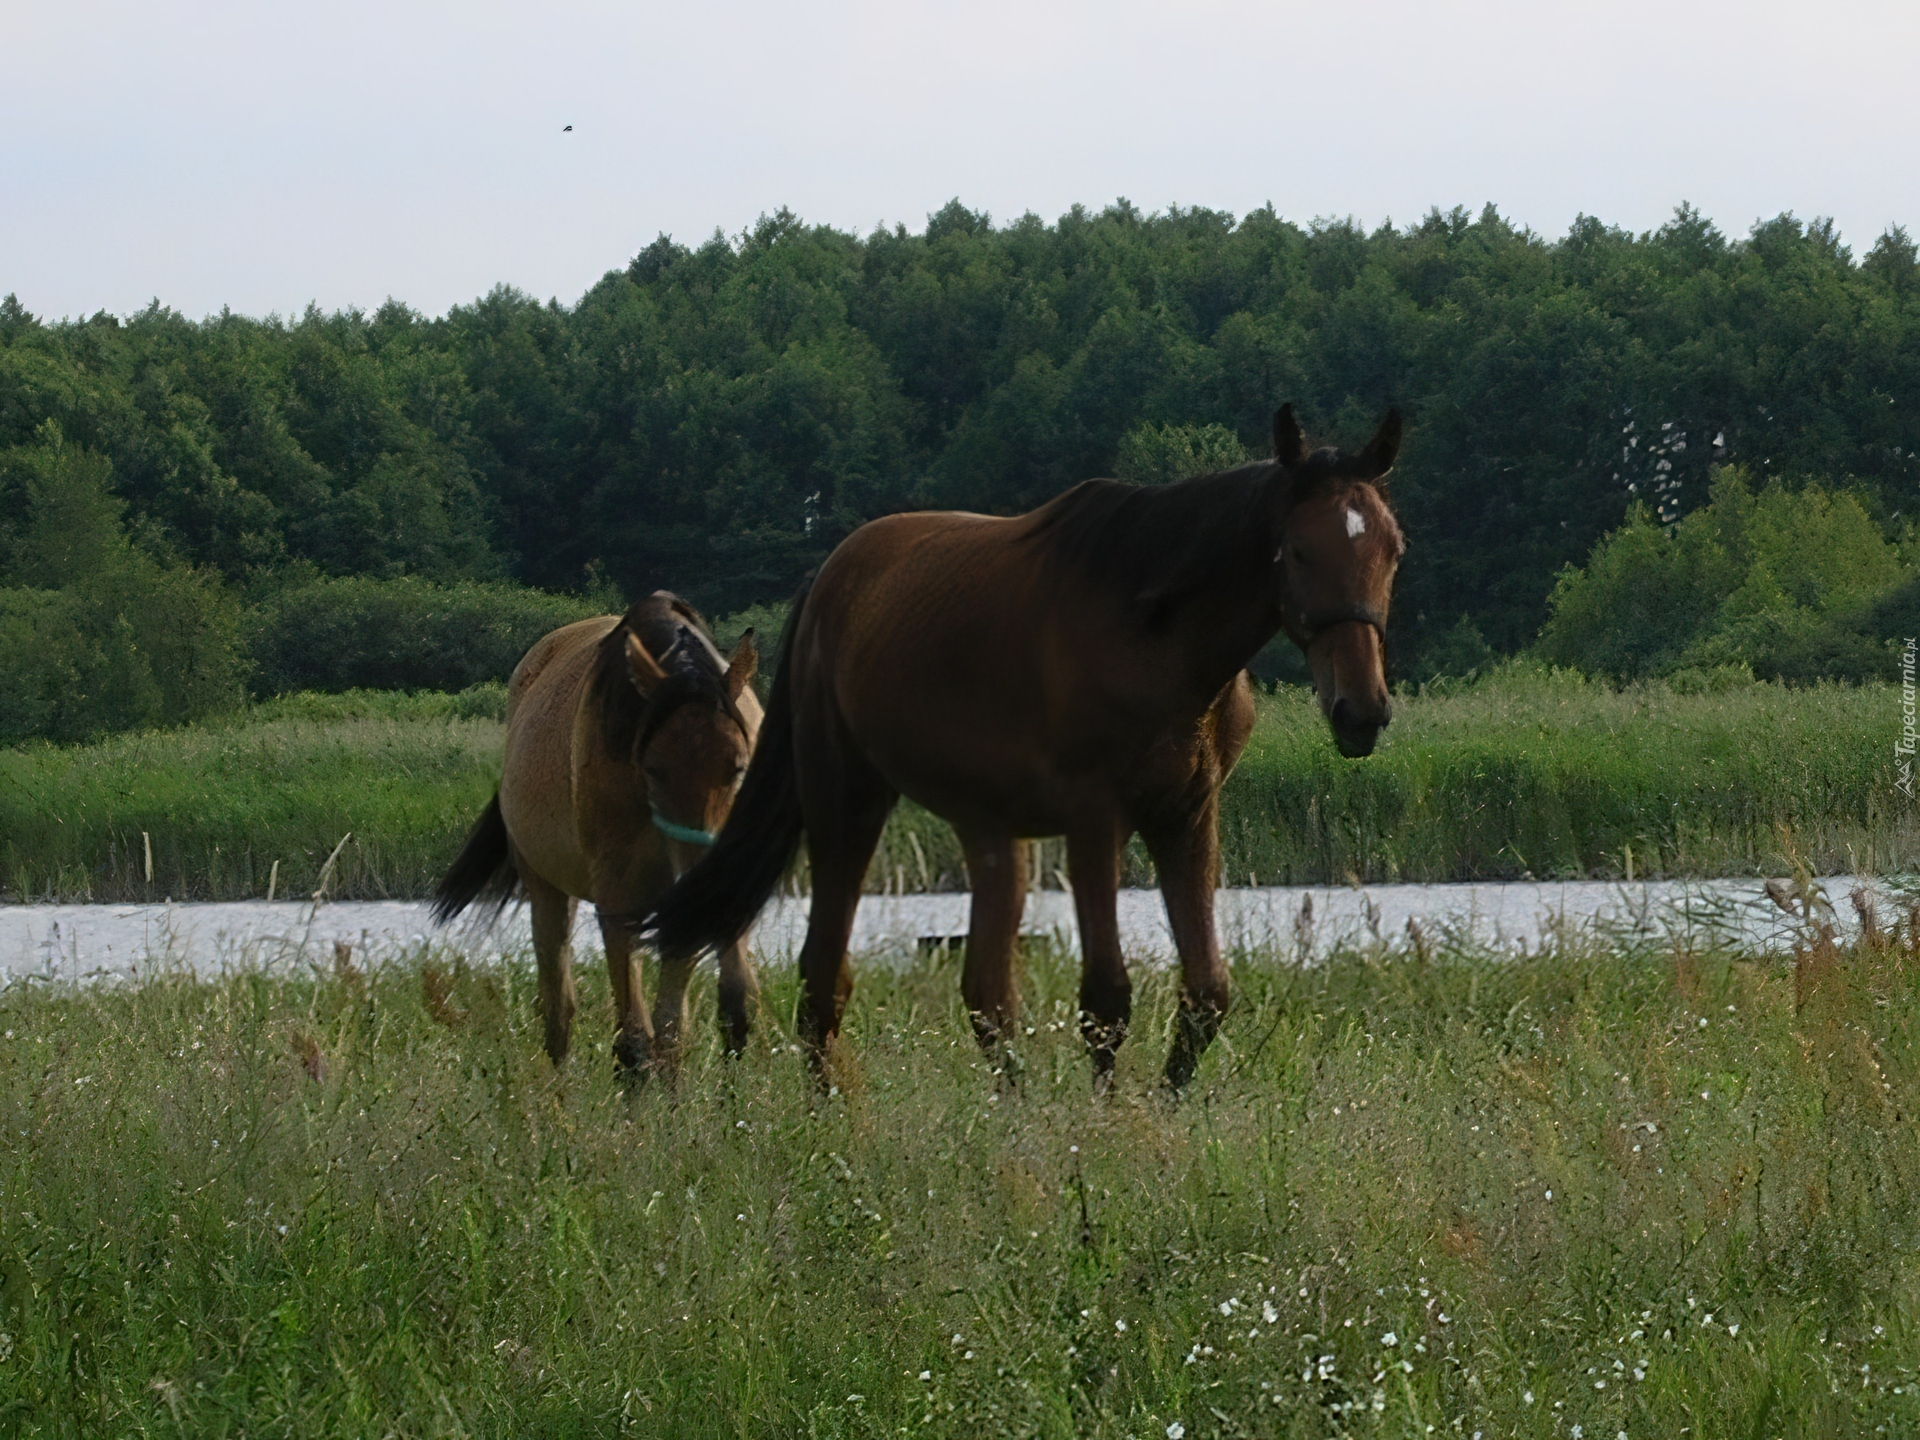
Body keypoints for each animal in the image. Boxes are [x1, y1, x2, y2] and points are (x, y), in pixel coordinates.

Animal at [433, 591, 756, 1075]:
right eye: (652, 769)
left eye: (737, 766)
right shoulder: (618, 895)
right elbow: (635, 1037)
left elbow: (690, 1024)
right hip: (546, 889)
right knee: (557, 1007)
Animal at [648, 401, 1413, 1090]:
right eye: (1301, 551)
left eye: (1392, 549)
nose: (1362, 710)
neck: (1155, 635)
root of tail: (826, 580)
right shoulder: (1096, 819)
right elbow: (1106, 997)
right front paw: (1111, 1125)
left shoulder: (1188, 815)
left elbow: (1206, 993)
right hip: (846, 802)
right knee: (822, 977)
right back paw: (829, 1114)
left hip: (987, 829)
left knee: (986, 995)